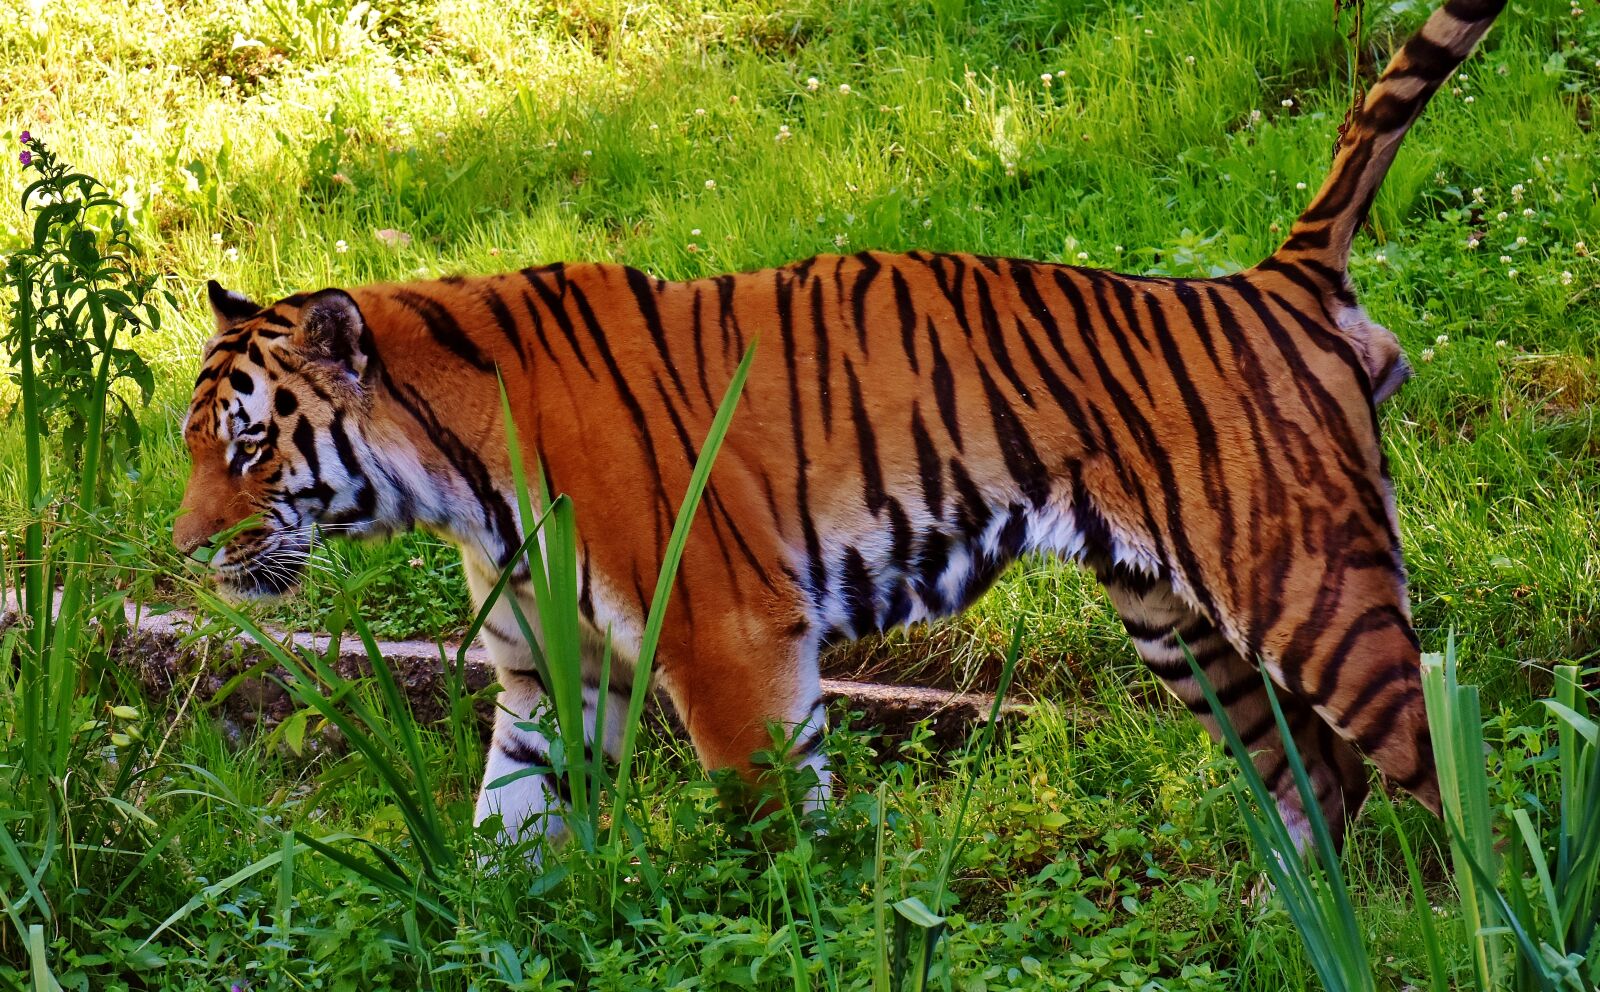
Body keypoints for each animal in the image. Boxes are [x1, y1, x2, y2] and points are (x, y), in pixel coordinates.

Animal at [175, 0, 1506, 852]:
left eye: (248, 446)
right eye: (194, 448)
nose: (186, 554)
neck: (451, 475)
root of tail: (1269, 278)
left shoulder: (725, 640)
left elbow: (777, 848)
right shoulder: (548, 670)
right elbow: (509, 841)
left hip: (1308, 589)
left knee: (1451, 771)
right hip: (1172, 617)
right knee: (1316, 778)